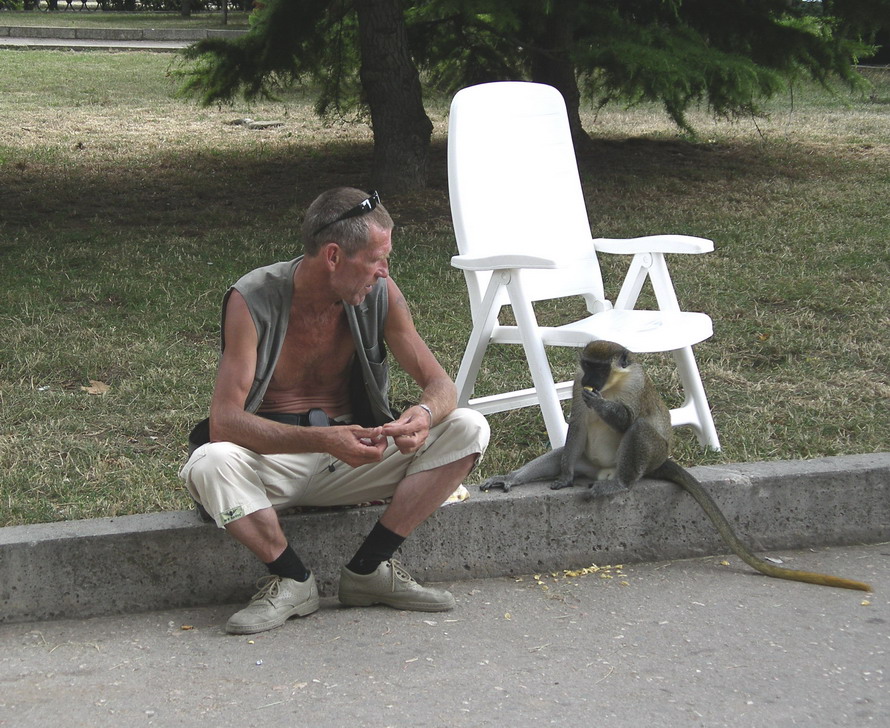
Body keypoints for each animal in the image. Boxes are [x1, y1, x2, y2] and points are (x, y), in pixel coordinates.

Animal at [482, 342, 872, 592]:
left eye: (601, 366)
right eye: (587, 364)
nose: (592, 378)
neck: (613, 384)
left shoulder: (634, 386)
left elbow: (629, 419)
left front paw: (606, 408)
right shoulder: (578, 388)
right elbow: (576, 425)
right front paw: (561, 477)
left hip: (648, 456)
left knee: (640, 431)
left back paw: (621, 483)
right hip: (586, 464)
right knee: (565, 451)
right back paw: (513, 479)